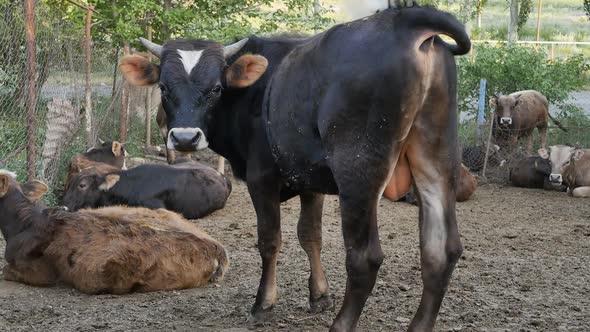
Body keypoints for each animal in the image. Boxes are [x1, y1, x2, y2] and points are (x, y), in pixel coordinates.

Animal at [119, 3, 472, 332]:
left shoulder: (261, 178)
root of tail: (407, 20)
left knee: (364, 258)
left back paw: (341, 324)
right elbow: (310, 235)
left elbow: (269, 240)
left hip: (358, 172)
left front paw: (264, 302)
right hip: (437, 162)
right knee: (441, 250)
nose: (184, 137)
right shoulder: (309, 179)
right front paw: (319, 294)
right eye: (164, 87)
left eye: (216, 88)